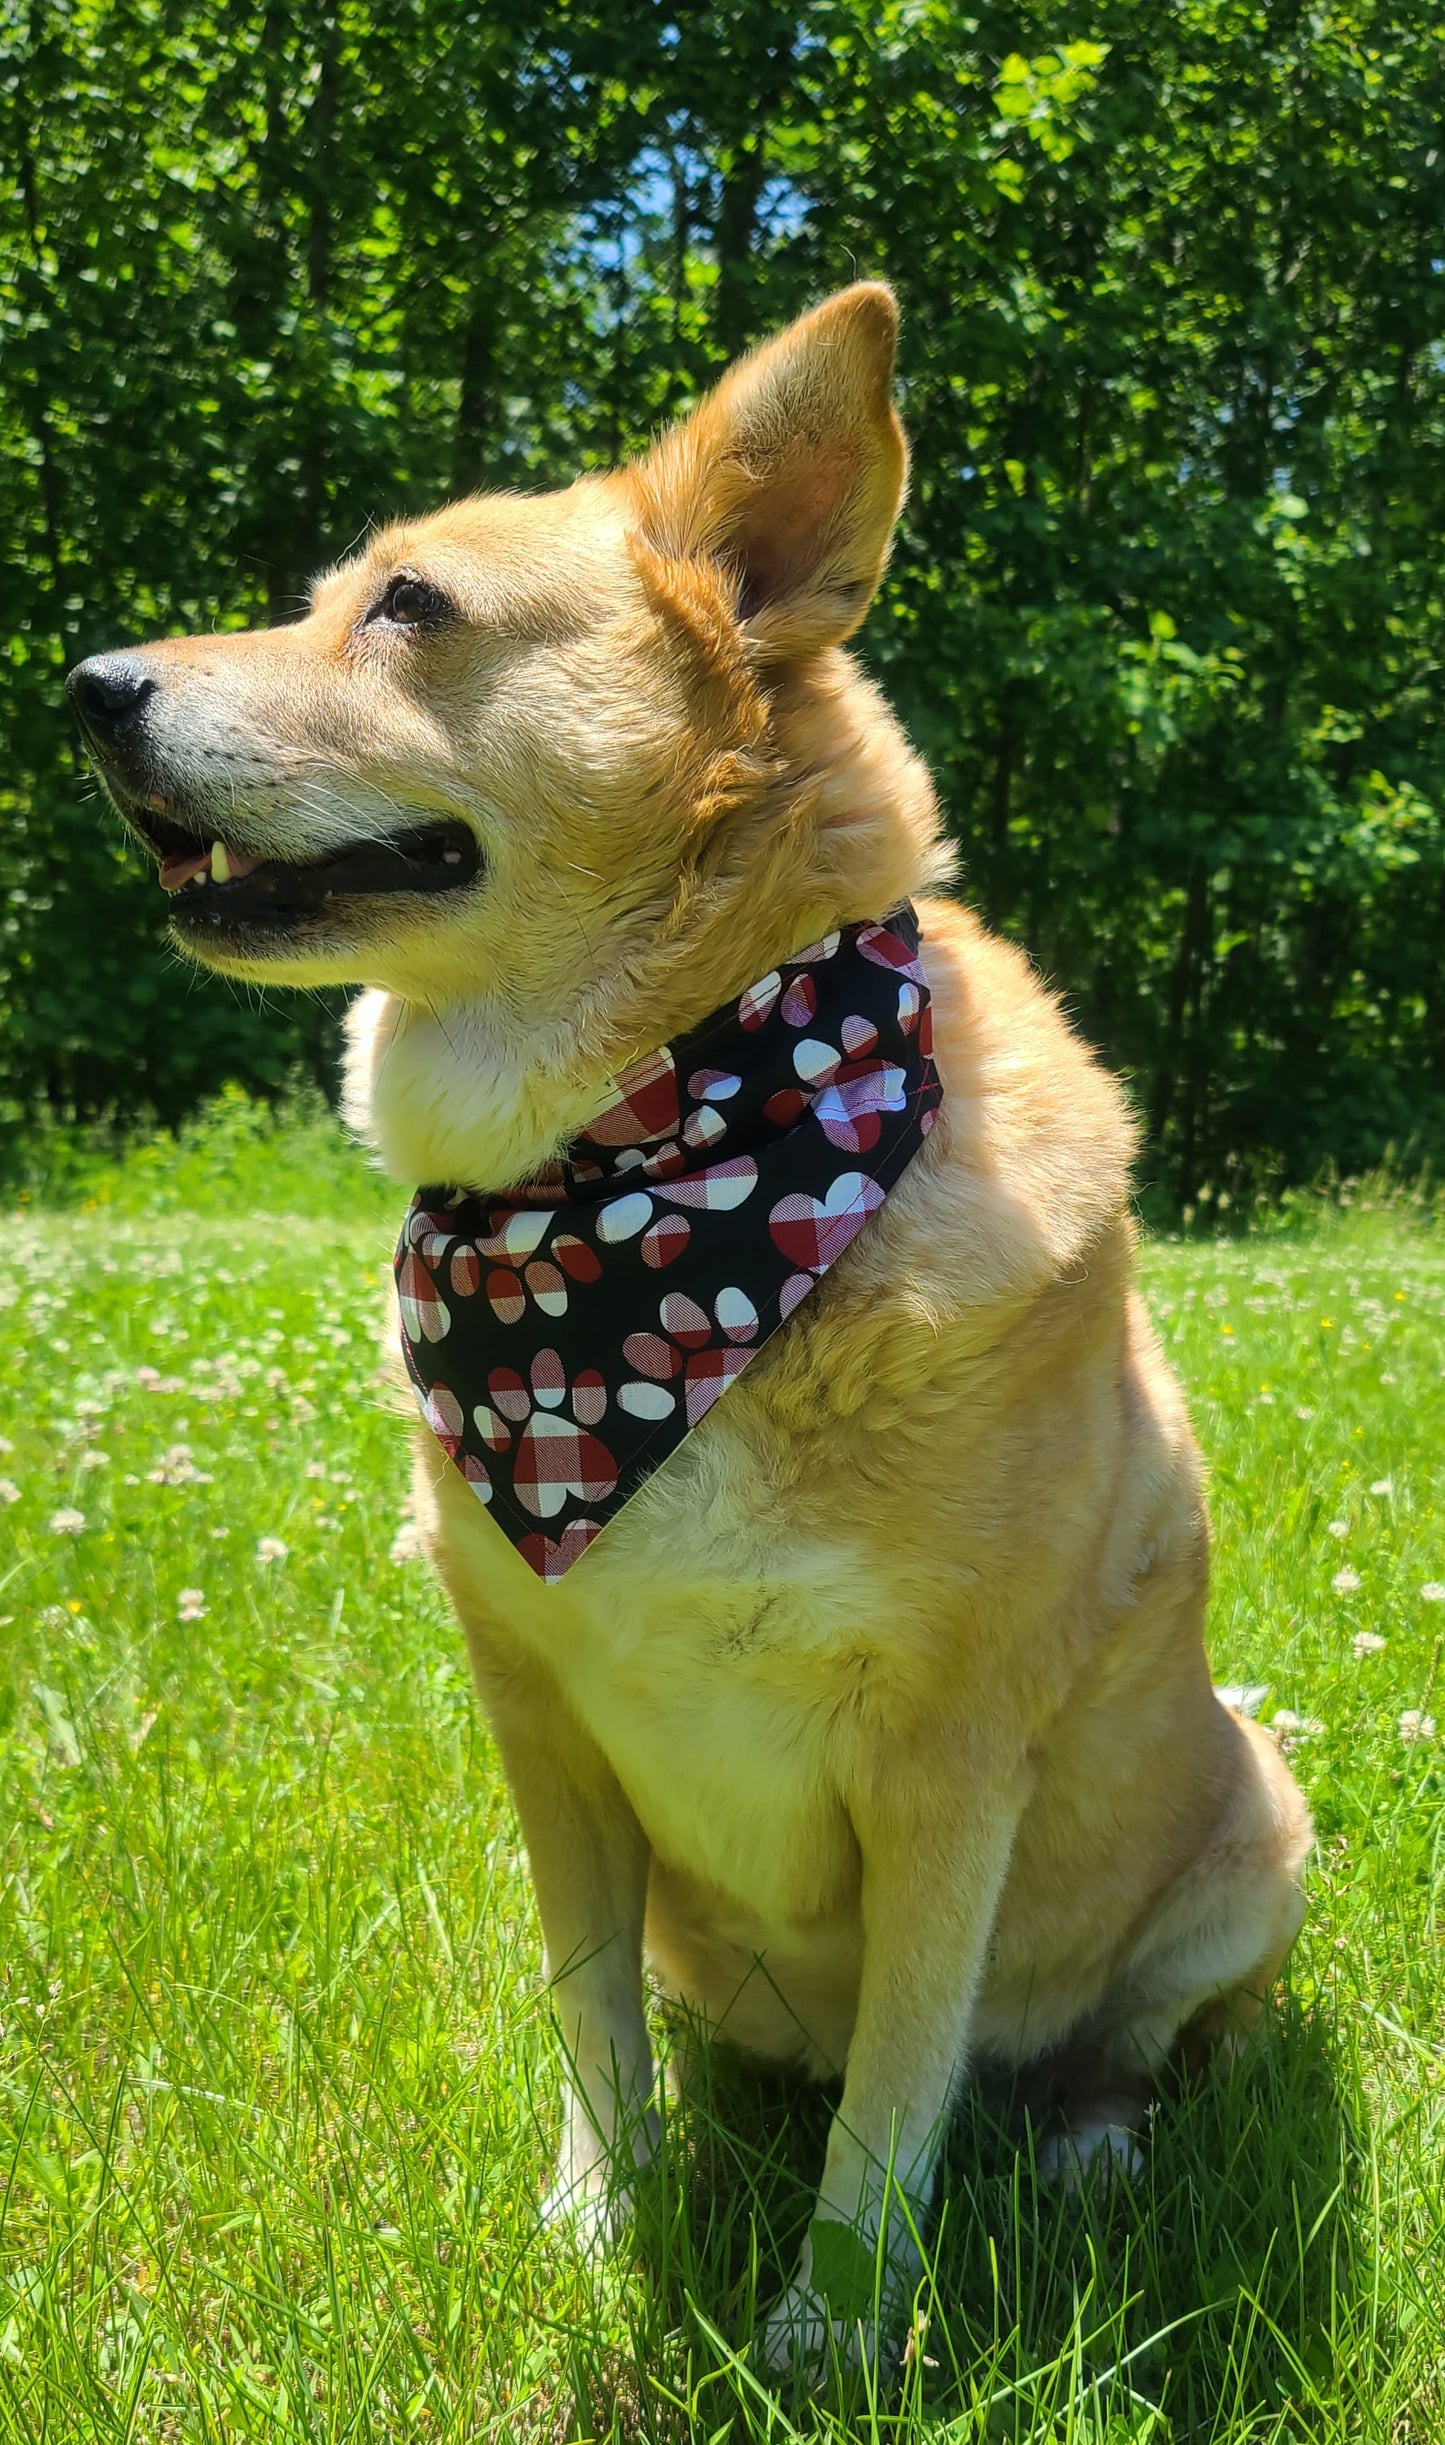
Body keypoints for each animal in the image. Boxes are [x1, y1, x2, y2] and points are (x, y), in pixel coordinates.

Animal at [65, 277, 1310, 2376]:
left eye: (408, 605)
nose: (86, 685)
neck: (644, 1186)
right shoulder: (544, 1720)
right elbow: (594, 2025)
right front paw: (602, 2231)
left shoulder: (947, 1763)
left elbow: (899, 2092)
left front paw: (834, 2332)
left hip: (1253, 1825)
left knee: (1112, 2048)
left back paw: (1085, 2146)